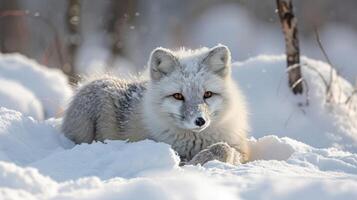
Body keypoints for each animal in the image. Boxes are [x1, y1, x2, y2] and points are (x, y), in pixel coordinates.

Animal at [61, 45, 249, 164]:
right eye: (178, 96)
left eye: (207, 94)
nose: (200, 121)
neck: (195, 141)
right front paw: (197, 162)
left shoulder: (242, 149)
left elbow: (225, 149)